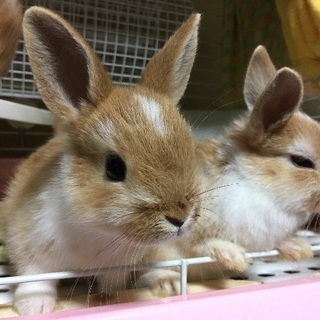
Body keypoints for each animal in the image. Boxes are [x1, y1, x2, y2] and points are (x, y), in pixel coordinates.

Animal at [2, 6, 201, 316]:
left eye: (189, 148)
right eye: (114, 167)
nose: (180, 218)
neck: (96, 228)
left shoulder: (116, 268)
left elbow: (112, 285)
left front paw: (112, 297)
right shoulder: (30, 247)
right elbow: (35, 279)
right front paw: (35, 307)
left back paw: (166, 283)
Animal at [136, 45, 318, 296]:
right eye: (302, 161)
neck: (257, 186)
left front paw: (299, 249)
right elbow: (199, 244)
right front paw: (234, 257)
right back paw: (168, 284)